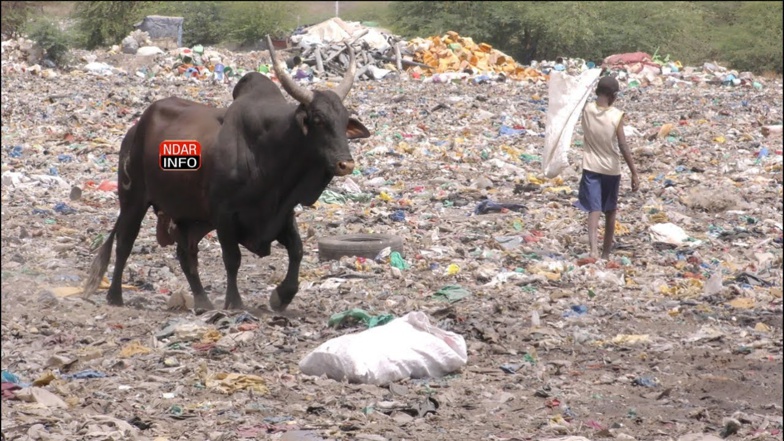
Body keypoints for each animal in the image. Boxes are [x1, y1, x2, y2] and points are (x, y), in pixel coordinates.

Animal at [81, 38, 372, 312]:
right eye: (319, 119)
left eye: (344, 121)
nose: (345, 164)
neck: (269, 152)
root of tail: (134, 130)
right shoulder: (225, 215)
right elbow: (232, 259)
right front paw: (234, 302)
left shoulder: (282, 214)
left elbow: (297, 250)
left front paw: (282, 296)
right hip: (133, 200)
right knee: (124, 243)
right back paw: (115, 296)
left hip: (187, 216)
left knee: (186, 254)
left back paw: (202, 300)